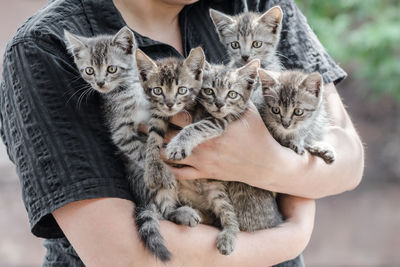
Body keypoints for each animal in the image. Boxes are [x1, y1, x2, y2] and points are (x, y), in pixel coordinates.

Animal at [165, 59, 260, 256]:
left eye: (232, 94)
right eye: (209, 91)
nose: (219, 104)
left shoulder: (221, 121)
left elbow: (195, 127)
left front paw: (178, 145)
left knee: (229, 217)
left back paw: (227, 237)